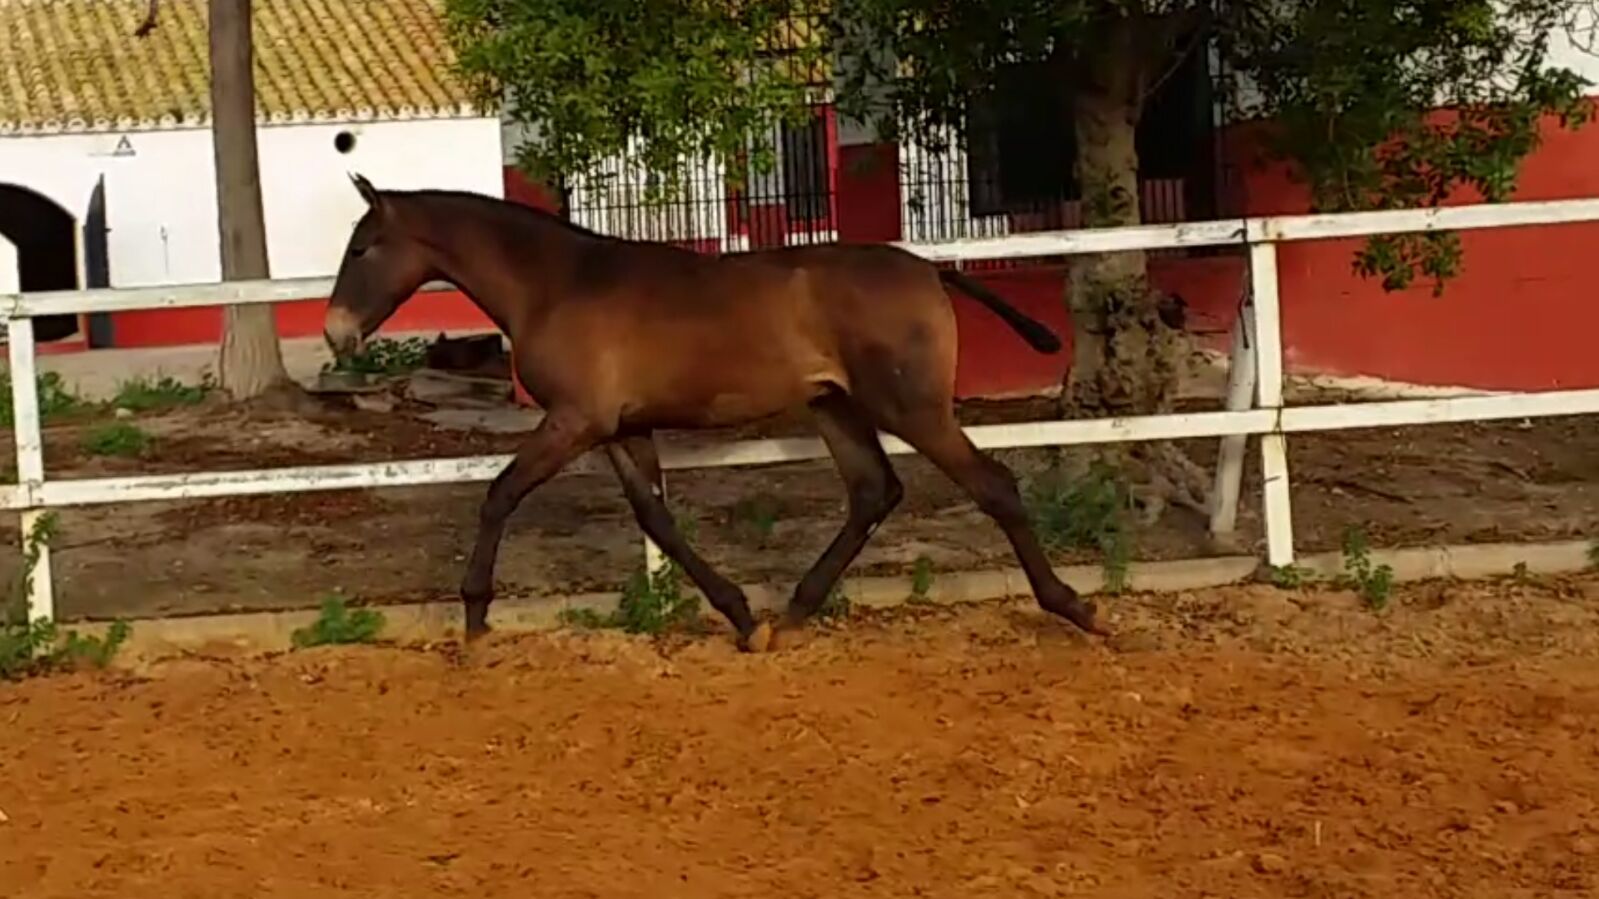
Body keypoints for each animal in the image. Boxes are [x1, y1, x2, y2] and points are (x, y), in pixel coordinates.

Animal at [324, 175, 1100, 646]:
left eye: (361, 247)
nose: (335, 334)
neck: (557, 284)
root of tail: (930, 270)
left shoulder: (573, 422)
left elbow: (499, 493)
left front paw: (475, 616)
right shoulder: (619, 428)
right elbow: (657, 520)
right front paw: (739, 614)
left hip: (910, 406)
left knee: (992, 484)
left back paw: (1075, 605)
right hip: (836, 406)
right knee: (873, 491)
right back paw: (792, 612)